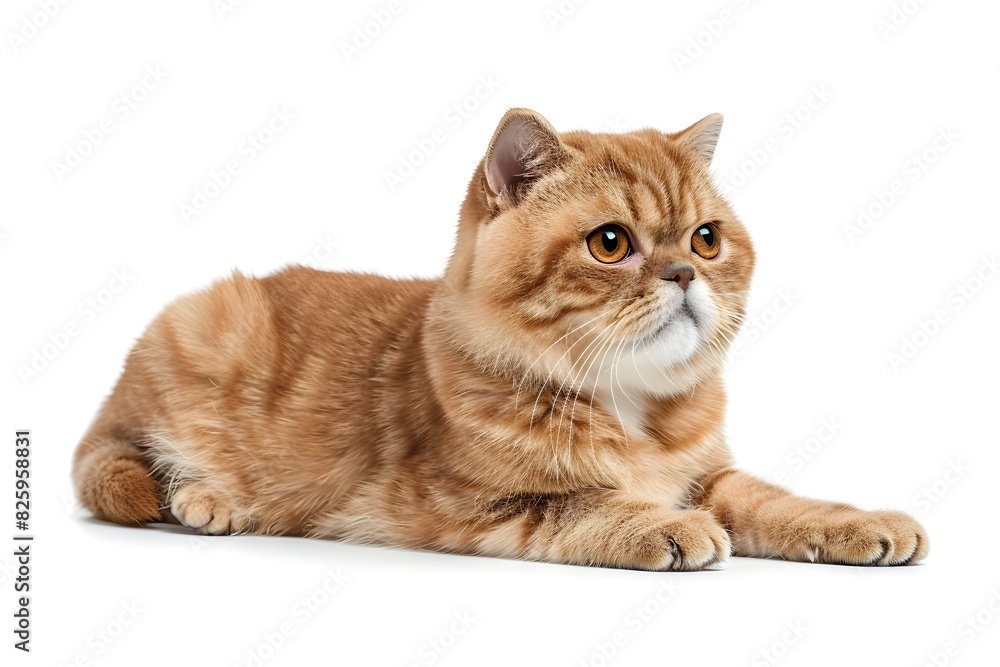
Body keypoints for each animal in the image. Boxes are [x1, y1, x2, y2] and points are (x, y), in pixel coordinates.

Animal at [72, 108, 928, 568]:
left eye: (707, 238)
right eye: (611, 243)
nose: (687, 271)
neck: (633, 408)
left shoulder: (712, 474)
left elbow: (775, 499)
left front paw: (859, 521)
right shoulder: (467, 503)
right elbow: (584, 501)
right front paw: (664, 523)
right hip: (200, 335)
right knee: (128, 464)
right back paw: (211, 497)